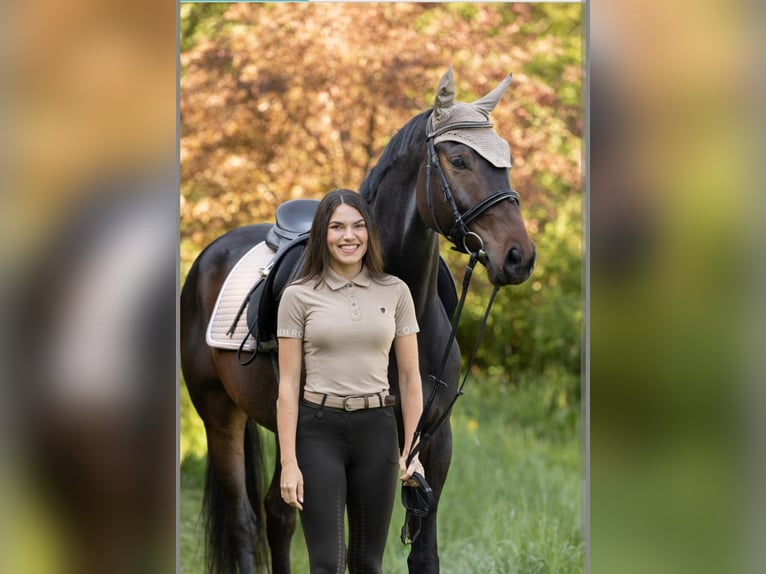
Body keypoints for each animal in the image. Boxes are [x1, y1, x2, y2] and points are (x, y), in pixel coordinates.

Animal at [182, 68, 536, 574]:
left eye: (505, 161)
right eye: (459, 160)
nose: (518, 256)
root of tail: (211, 254)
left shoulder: (434, 440)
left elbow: (422, 554)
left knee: (278, 514)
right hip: (217, 411)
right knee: (243, 521)